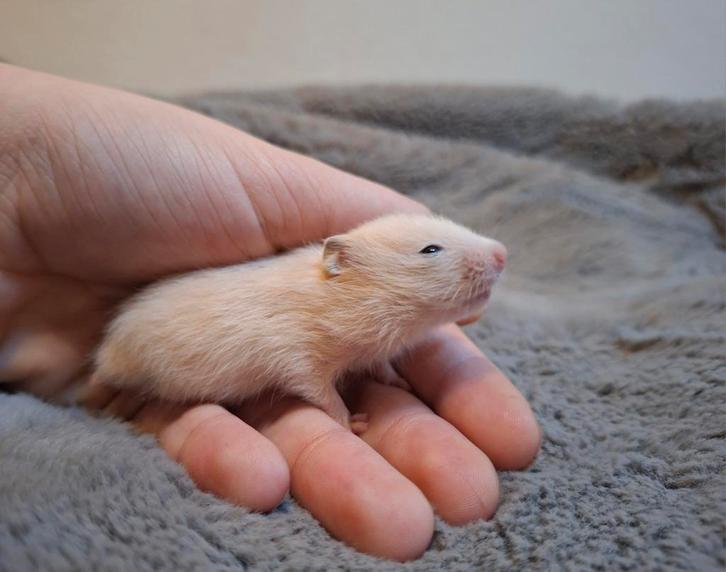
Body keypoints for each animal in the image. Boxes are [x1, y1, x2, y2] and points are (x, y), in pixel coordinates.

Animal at [92, 214, 507, 428]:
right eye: (430, 249)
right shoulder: (298, 359)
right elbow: (323, 395)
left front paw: (402, 383)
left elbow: (382, 368)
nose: (503, 253)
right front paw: (355, 423)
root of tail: (108, 347)